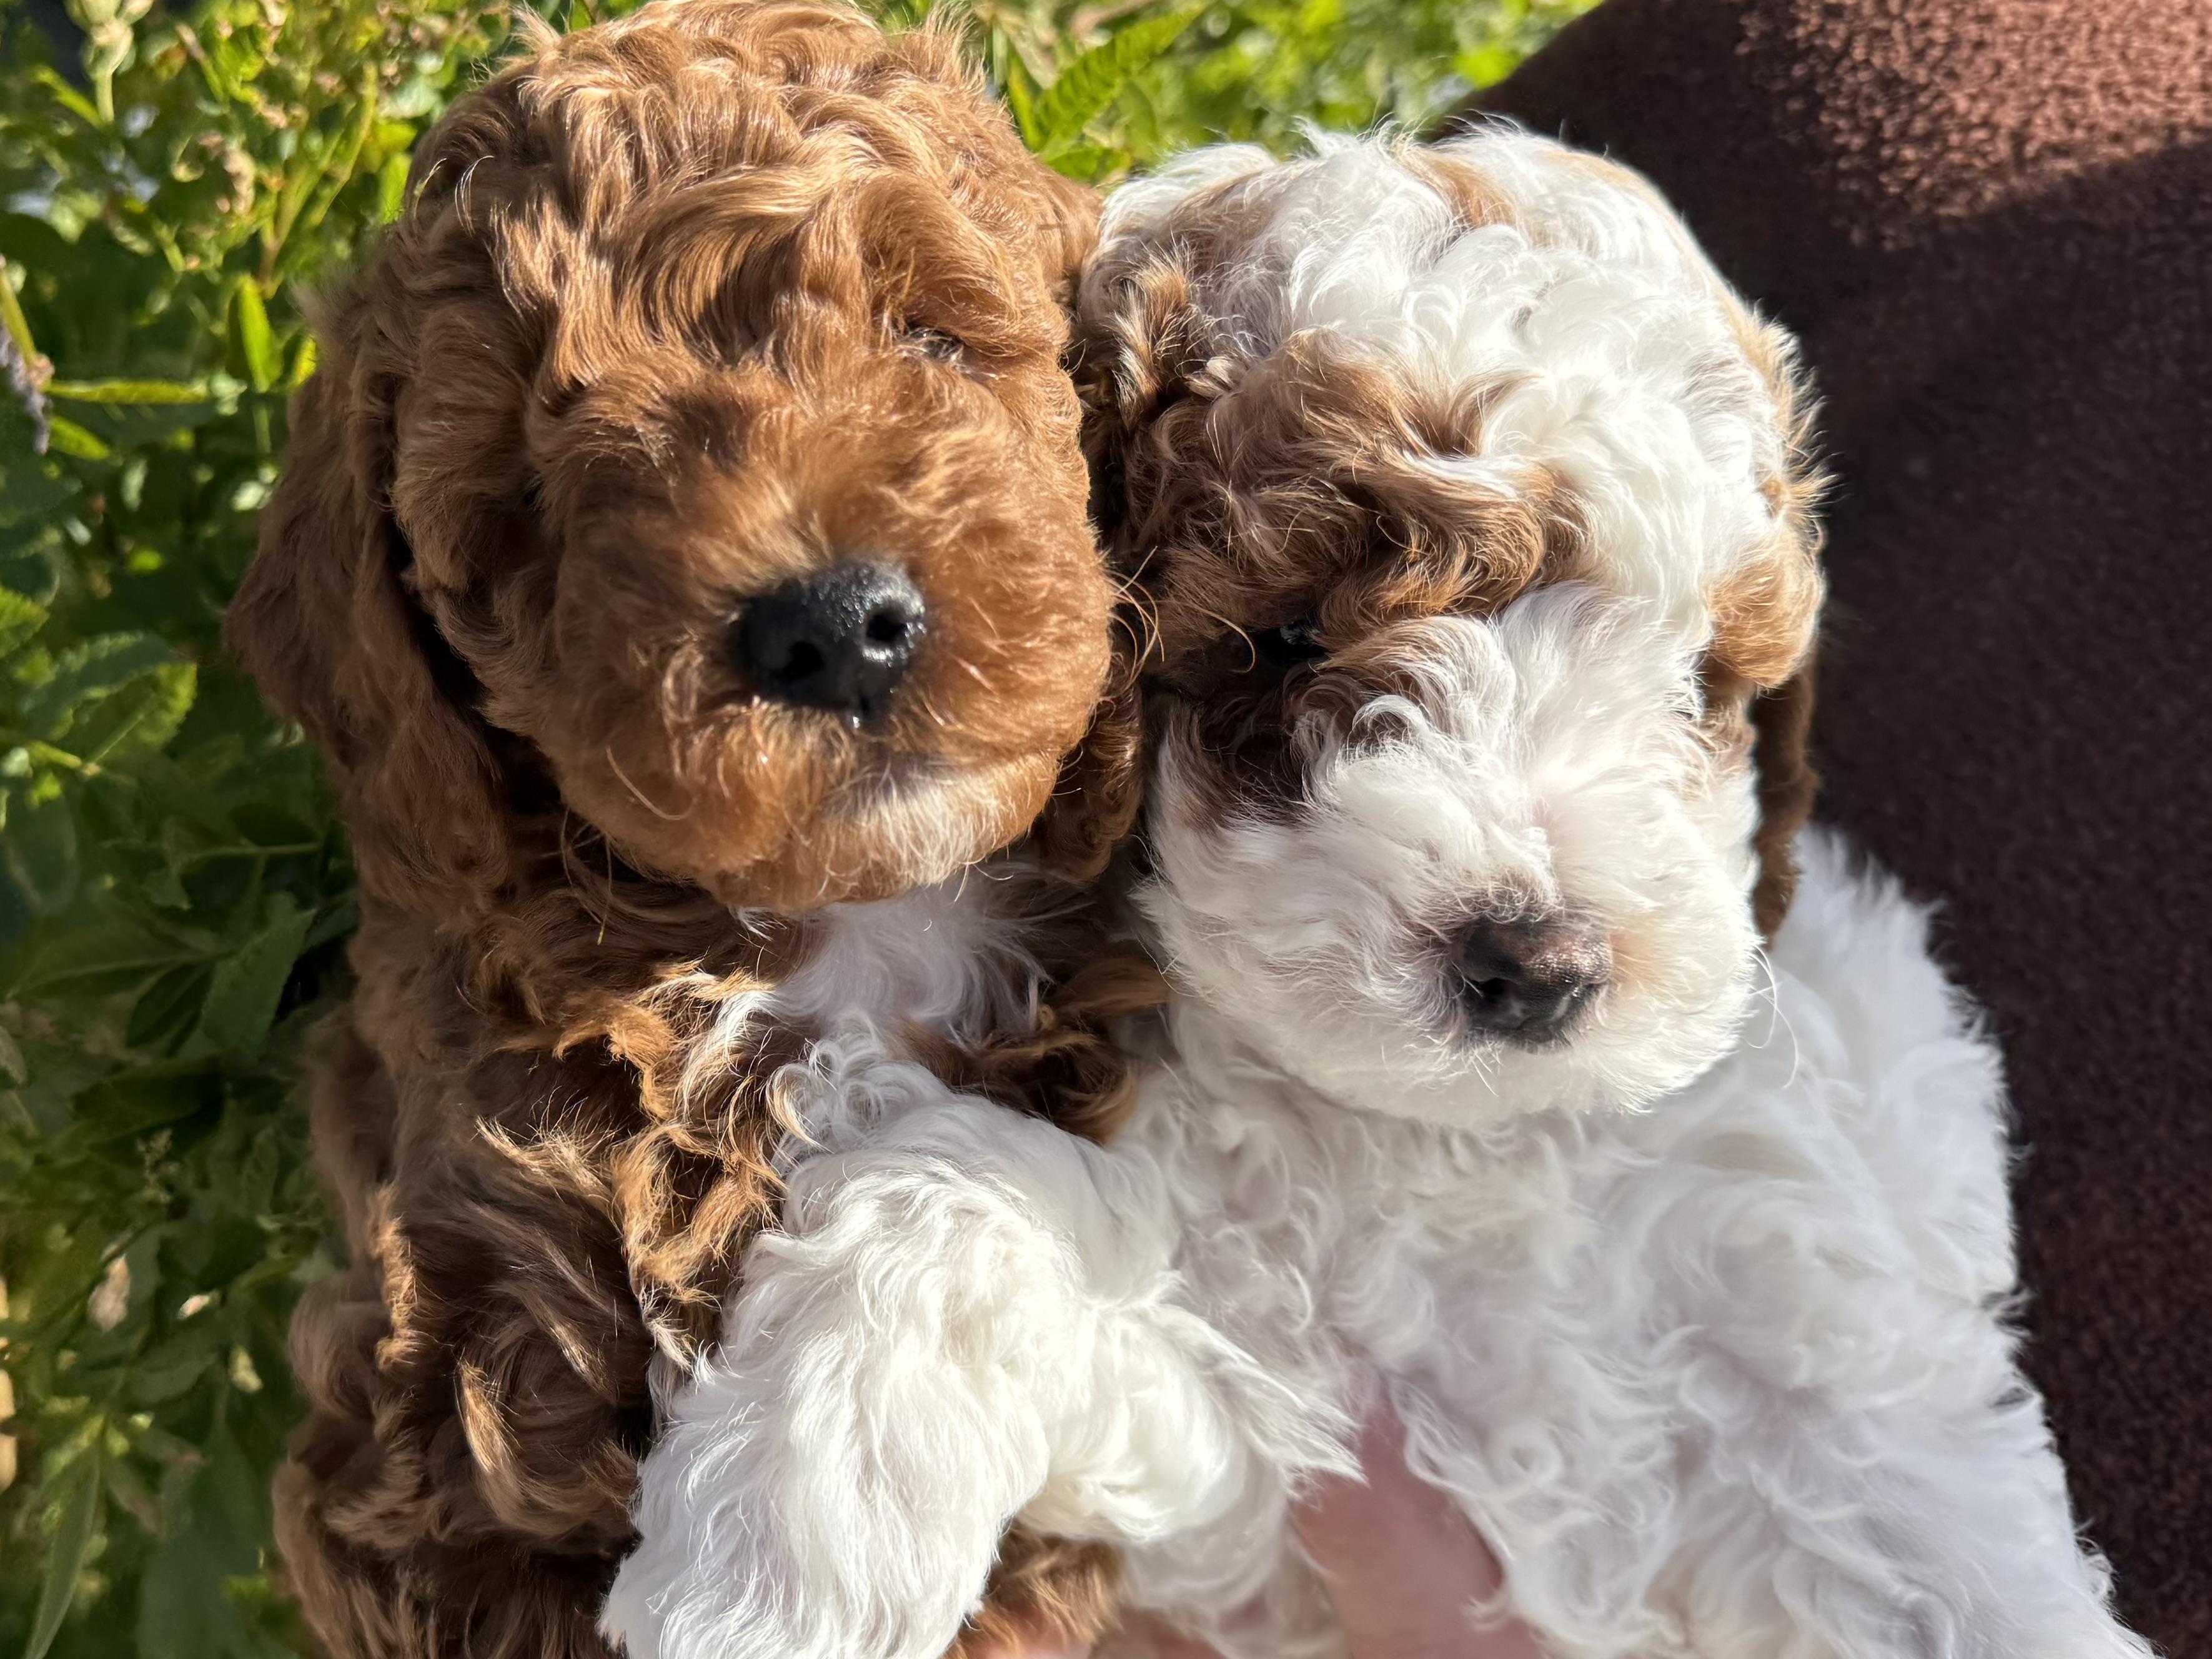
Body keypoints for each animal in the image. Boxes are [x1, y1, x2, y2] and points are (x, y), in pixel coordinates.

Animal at [605, 128, 2148, 1659]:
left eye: (1703, 678)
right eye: (1289, 638)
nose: (1539, 963)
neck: (1436, 1149)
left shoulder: (1804, 1347)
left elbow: (1944, 1536)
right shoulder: (1270, 1479)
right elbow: (980, 1190)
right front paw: (788, 1541)